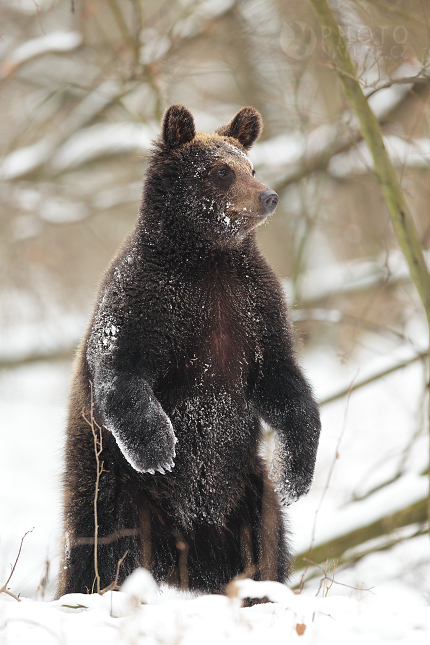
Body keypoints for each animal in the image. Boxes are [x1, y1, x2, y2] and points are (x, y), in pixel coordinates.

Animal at [57, 104, 320, 592]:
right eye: (221, 171)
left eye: (250, 167)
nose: (269, 196)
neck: (206, 256)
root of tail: (182, 556)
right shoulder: (146, 301)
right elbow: (121, 371)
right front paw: (160, 448)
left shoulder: (253, 308)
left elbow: (283, 381)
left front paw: (296, 473)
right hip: (112, 488)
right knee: (95, 550)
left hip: (244, 493)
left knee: (267, 545)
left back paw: (262, 589)